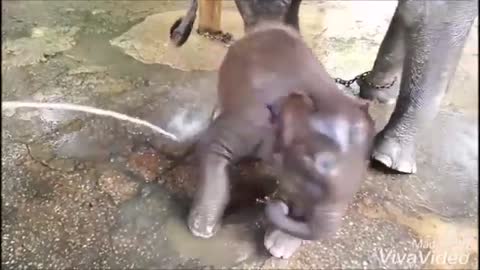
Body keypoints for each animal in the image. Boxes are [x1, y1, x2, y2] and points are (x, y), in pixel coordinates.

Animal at [188, 22, 376, 258]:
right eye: (312, 170)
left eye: (364, 170)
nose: (278, 203)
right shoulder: (249, 122)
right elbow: (212, 146)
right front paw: (201, 230)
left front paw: (277, 248)